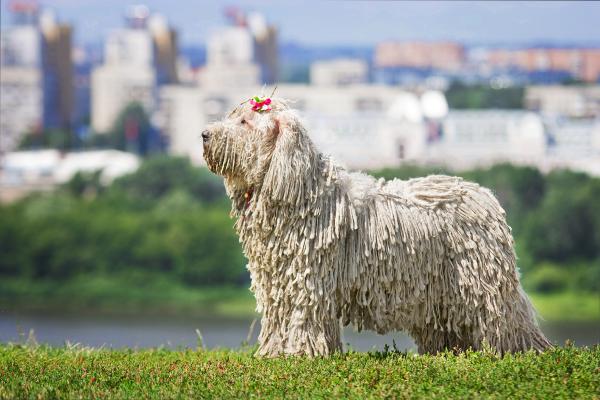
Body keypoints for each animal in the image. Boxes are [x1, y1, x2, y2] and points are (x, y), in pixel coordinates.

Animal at [203, 96, 552, 356]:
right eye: (234, 115)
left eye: (244, 122)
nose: (205, 134)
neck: (298, 189)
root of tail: (486, 196)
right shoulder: (277, 280)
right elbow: (280, 318)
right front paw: (277, 353)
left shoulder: (309, 278)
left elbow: (304, 314)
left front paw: (301, 352)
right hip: (441, 292)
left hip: (482, 280)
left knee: (505, 321)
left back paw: (519, 350)